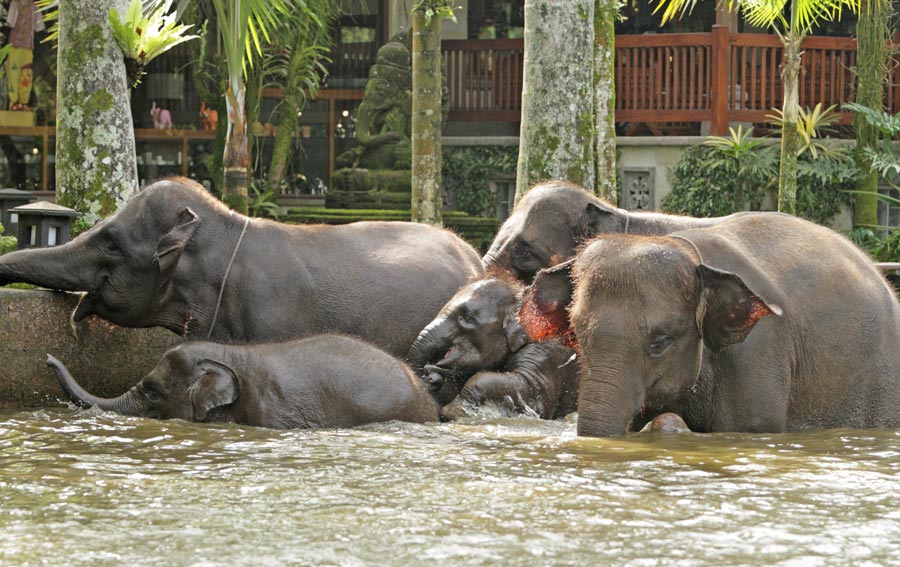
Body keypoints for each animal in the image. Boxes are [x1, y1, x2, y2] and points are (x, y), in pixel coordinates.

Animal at [406, 278, 576, 420]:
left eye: (467, 318)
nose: (430, 376)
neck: (519, 297)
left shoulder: (544, 353)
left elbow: (533, 393)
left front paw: (455, 411)